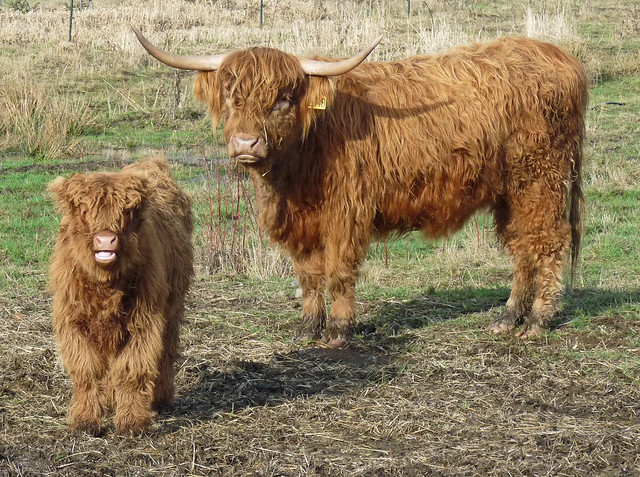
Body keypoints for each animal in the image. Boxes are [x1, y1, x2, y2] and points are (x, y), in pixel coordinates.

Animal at [48, 157, 193, 435]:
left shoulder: (143, 323)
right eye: (84, 211)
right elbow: (87, 372)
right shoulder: (74, 322)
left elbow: (132, 370)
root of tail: (152, 162)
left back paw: (159, 398)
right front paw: (85, 420)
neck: (105, 286)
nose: (106, 240)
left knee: (166, 353)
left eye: (127, 212)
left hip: (172, 309)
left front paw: (132, 422)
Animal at [133, 28, 587, 346]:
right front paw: (307, 327)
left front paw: (338, 329)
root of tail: (561, 57)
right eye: (231, 96)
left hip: (540, 178)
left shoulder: (345, 214)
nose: (246, 144)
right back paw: (507, 317)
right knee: (522, 245)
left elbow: (338, 272)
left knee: (549, 241)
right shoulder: (302, 224)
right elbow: (308, 276)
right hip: (511, 191)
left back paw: (537, 321)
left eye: (283, 98)